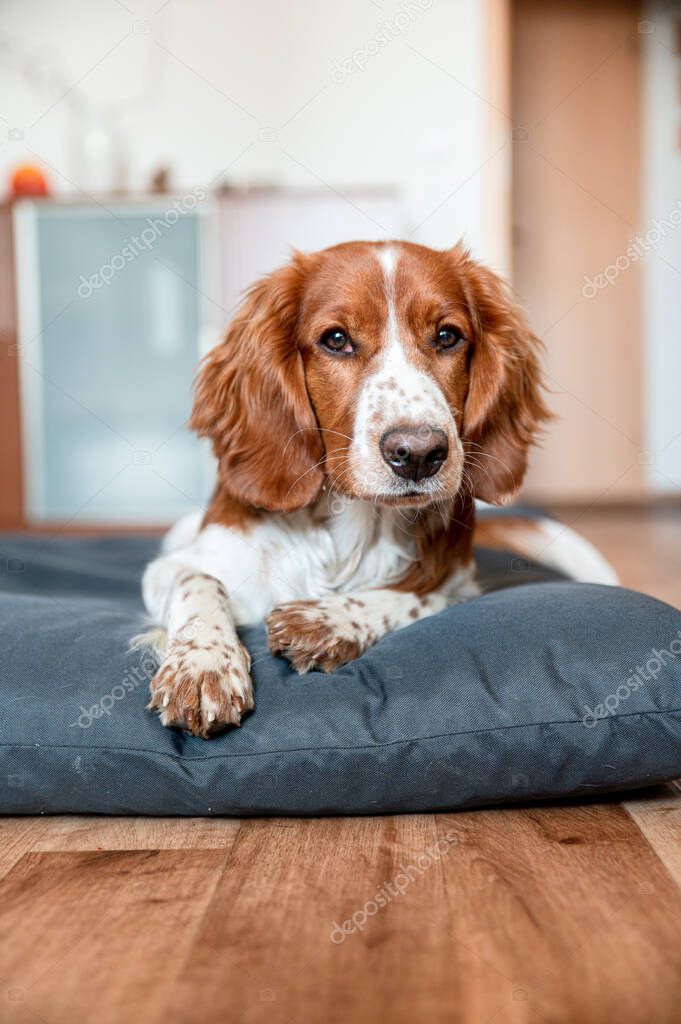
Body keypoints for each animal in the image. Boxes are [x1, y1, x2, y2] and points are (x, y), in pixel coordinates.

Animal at [139, 239, 614, 737]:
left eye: (447, 336)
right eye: (336, 339)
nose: (420, 453)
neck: (354, 524)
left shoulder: (458, 583)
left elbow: (415, 598)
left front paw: (330, 620)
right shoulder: (176, 565)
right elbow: (198, 581)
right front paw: (203, 665)